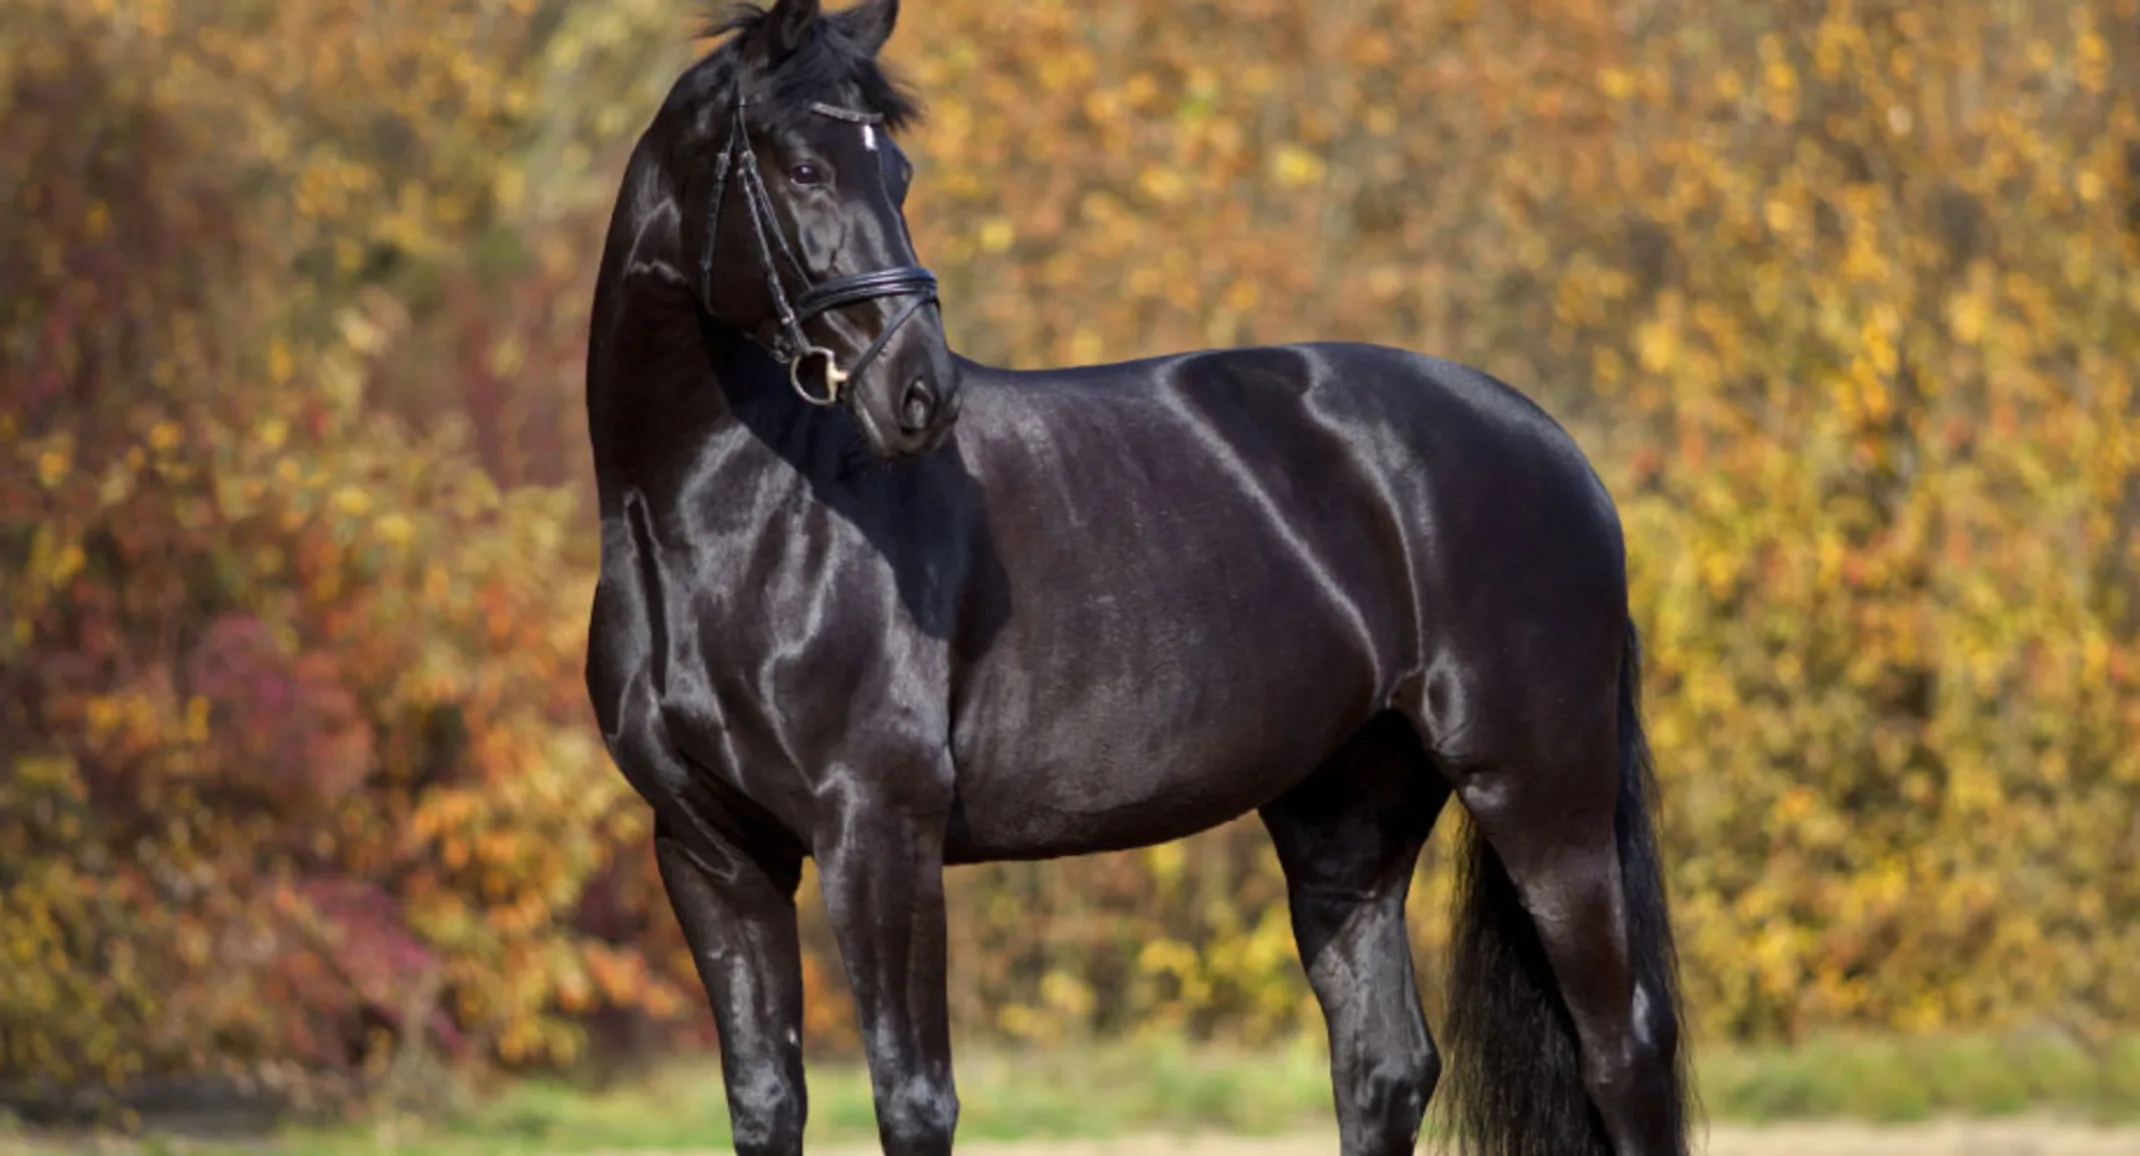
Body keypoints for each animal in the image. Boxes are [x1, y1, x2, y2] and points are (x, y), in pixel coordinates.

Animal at [586, 4, 1686, 1147]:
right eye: (802, 167)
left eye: (897, 172)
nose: (919, 392)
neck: (730, 521)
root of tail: (1558, 451)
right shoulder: (711, 851)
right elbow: (766, 1099)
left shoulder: (877, 834)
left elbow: (913, 1096)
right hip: (1348, 817)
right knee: (1384, 1061)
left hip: (1541, 795)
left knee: (1623, 1050)